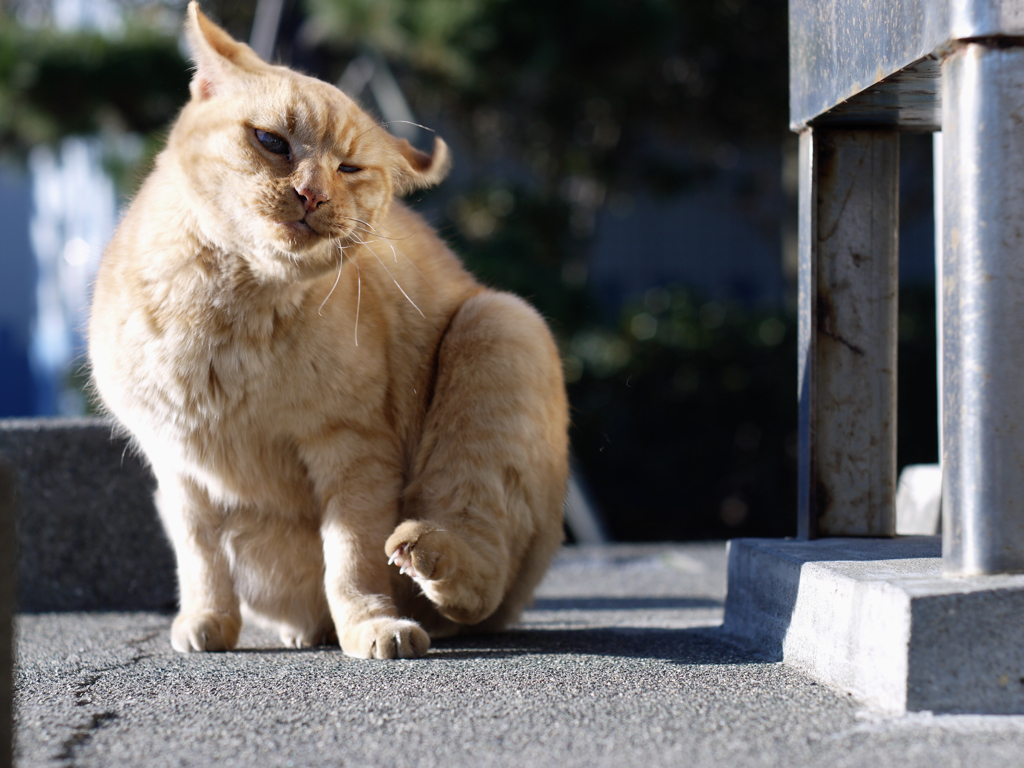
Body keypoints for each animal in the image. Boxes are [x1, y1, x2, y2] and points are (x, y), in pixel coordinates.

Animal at [87, 3, 569, 659]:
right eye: (271, 141)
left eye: (349, 168)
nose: (311, 193)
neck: (225, 318)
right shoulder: (177, 468)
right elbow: (200, 558)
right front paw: (207, 621)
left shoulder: (355, 447)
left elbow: (351, 559)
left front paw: (371, 626)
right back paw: (304, 630)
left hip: (500, 325)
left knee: (477, 582)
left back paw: (428, 556)